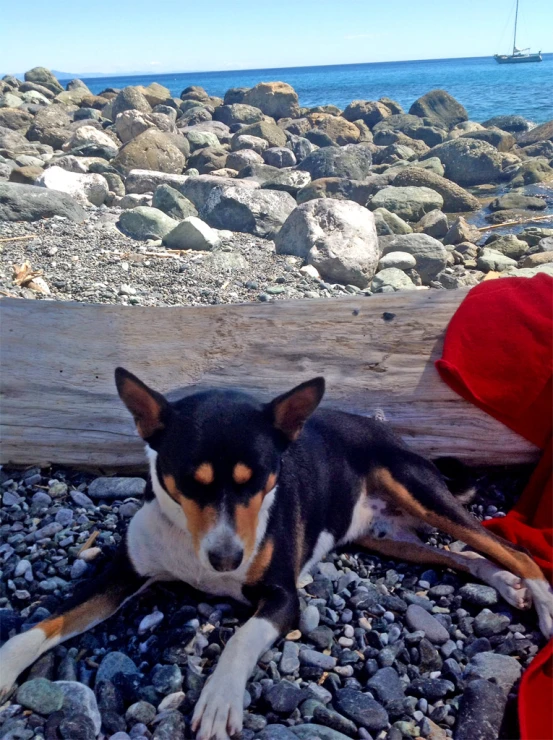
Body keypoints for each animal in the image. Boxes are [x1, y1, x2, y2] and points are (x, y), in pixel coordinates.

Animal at [1, 370, 552, 740]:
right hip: (385, 537)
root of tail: (389, 433)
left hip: (421, 492)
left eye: (259, 480)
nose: (227, 559)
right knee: (465, 556)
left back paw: (542, 601)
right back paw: (507, 586)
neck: (191, 543)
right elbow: (43, 625)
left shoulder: (284, 596)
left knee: (509, 548)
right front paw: (5, 667)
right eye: (189, 482)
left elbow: (239, 639)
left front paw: (219, 700)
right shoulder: (121, 574)